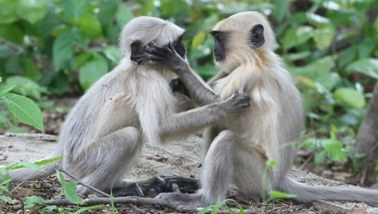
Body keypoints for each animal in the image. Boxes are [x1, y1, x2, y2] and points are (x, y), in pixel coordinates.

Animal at [7, 15, 250, 195]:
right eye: (174, 45)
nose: (183, 51)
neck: (139, 67)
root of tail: (61, 155)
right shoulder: (148, 81)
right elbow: (160, 129)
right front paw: (226, 107)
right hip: (82, 163)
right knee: (130, 136)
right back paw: (94, 191)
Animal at [144, 10, 378, 210]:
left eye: (219, 38)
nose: (214, 49)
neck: (260, 59)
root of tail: (280, 179)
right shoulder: (231, 69)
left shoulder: (247, 72)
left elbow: (220, 102)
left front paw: (177, 63)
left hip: (259, 177)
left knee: (227, 139)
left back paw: (204, 199)